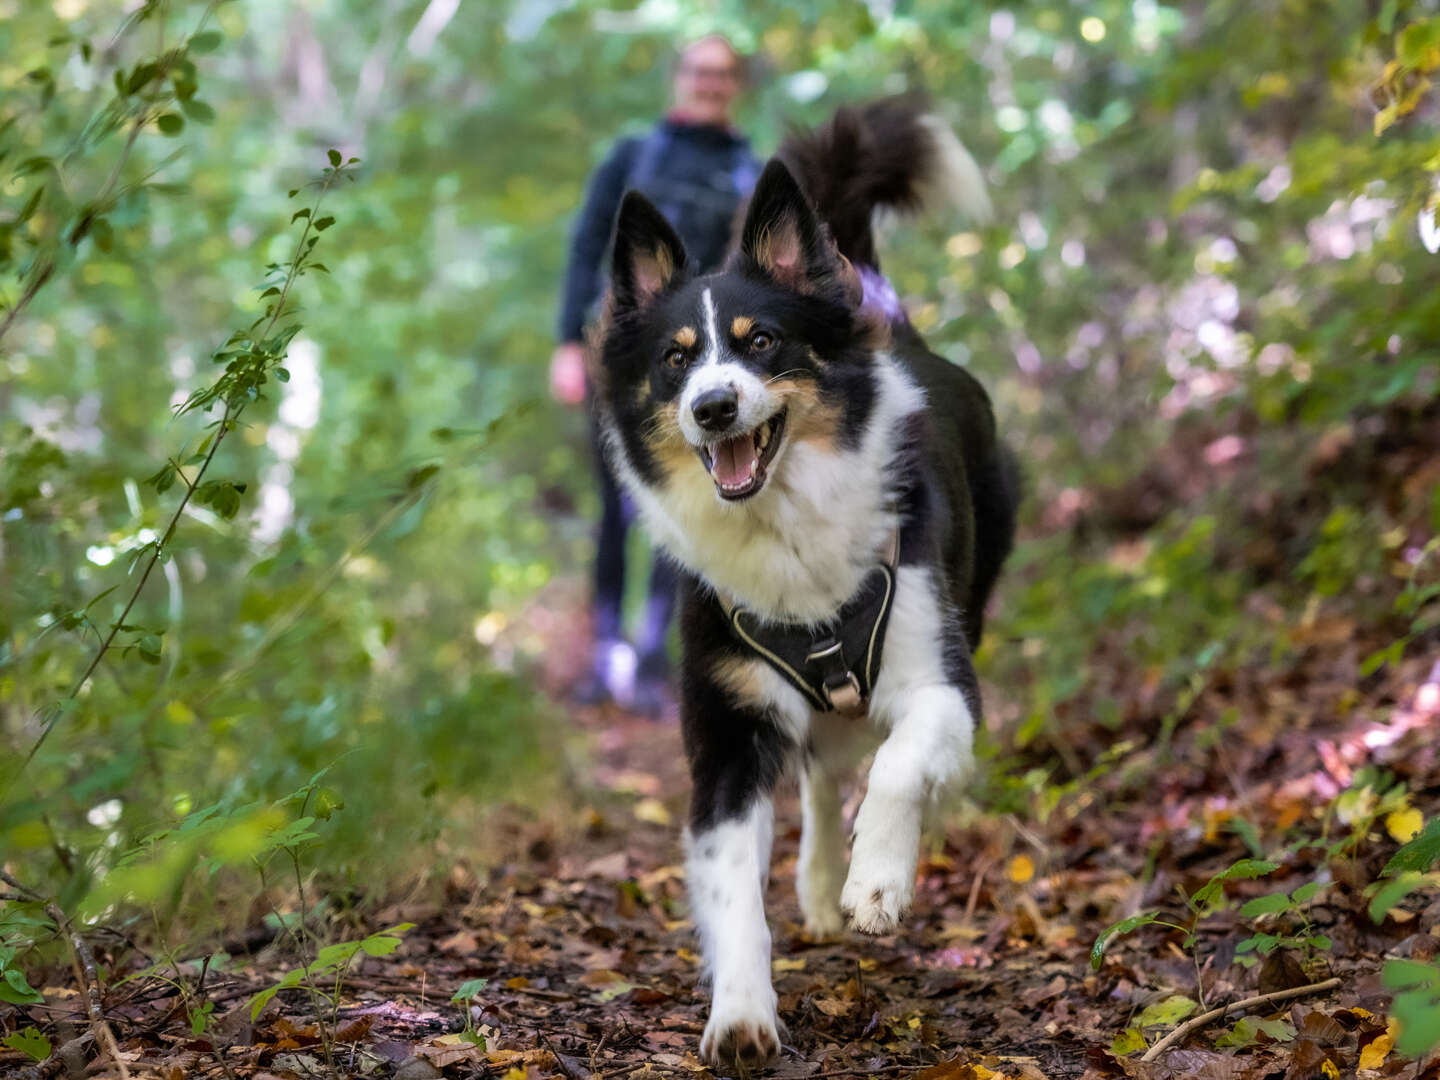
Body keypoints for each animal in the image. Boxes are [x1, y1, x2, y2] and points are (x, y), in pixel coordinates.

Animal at [587, 99, 1025, 1065]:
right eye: (676, 360)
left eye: (762, 342)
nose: (713, 407)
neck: (783, 525)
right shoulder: (729, 728)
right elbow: (730, 889)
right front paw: (742, 1013)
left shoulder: (940, 677)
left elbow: (901, 764)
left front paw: (879, 882)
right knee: (823, 776)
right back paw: (819, 883)